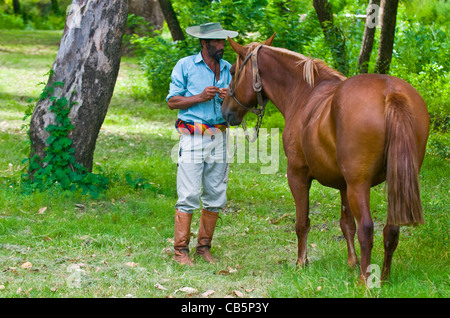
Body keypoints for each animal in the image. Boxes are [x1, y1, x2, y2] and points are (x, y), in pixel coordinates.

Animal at [221, 36, 428, 282]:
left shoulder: (297, 175)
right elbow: (346, 223)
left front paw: (301, 262)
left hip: (359, 185)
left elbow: (302, 223)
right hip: (393, 183)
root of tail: (390, 93)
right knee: (391, 230)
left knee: (367, 229)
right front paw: (351, 262)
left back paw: (364, 281)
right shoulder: (343, 185)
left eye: (232, 71)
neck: (303, 93)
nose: (225, 112)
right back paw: (384, 277)